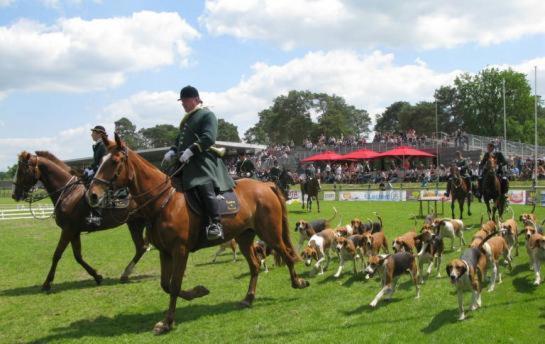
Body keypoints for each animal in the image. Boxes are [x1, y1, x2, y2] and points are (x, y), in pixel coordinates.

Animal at [11, 150, 150, 290]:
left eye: (22, 170)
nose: (14, 195)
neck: (68, 193)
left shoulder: (68, 231)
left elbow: (57, 254)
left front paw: (47, 283)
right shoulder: (74, 232)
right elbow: (78, 256)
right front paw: (97, 276)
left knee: (142, 247)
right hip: (135, 224)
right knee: (141, 247)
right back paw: (125, 274)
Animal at [87, 133, 308, 334]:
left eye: (114, 161)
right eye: (101, 161)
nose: (93, 195)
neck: (164, 202)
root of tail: (265, 185)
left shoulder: (180, 250)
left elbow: (174, 284)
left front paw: (167, 322)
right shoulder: (165, 252)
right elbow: (166, 284)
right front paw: (197, 292)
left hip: (270, 234)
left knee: (287, 255)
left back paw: (298, 282)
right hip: (244, 237)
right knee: (254, 266)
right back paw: (248, 299)